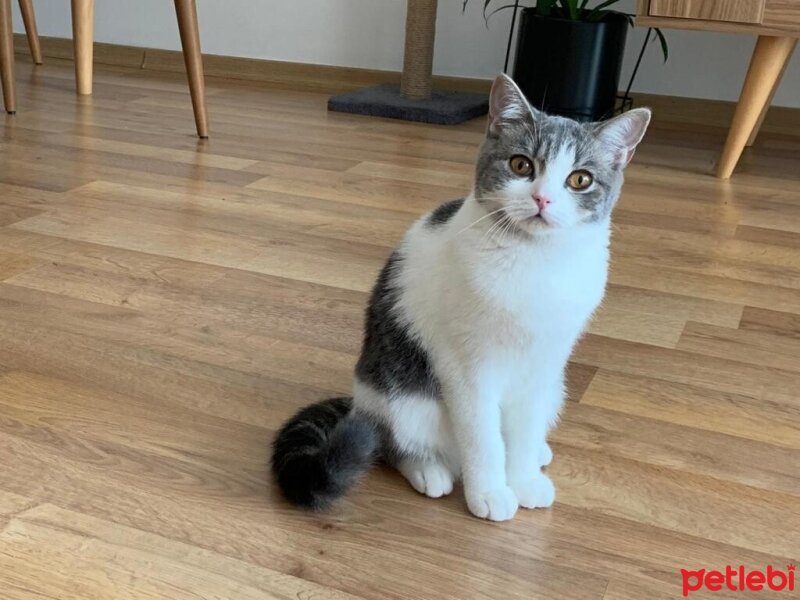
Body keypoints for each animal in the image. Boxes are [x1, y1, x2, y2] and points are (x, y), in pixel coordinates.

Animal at [274, 72, 648, 520]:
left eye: (580, 179)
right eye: (521, 165)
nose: (542, 198)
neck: (535, 261)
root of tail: (359, 402)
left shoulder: (544, 362)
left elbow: (522, 430)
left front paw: (524, 479)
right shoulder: (466, 367)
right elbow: (483, 437)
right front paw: (490, 492)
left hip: (556, 387)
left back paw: (537, 452)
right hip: (402, 398)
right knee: (389, 442)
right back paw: (428, 470)